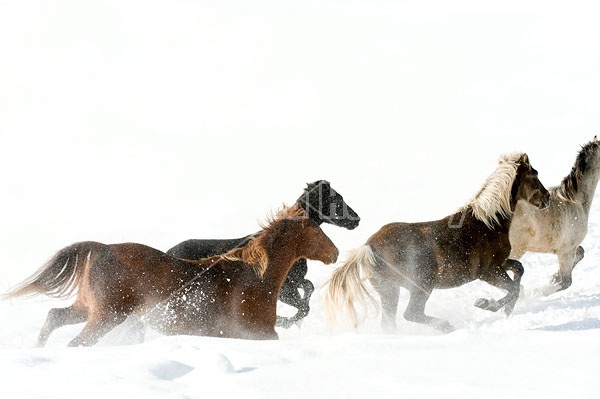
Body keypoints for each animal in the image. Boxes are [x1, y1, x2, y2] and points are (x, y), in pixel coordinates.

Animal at [3, 203, 338, 346]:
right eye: (316, 230)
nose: (334, 253)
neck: (255, 278)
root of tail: (102, 249)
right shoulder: (257, 334)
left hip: (88, 308)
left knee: (54, 317)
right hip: (107, 315)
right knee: (77, 341)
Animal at [166, 181, 358, 328]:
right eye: (337, 200)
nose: (357, 219)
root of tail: (168, 252)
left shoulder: (295, 280)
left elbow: (308, 288)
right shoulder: (283, 289)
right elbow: (303, 307)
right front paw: (283, 322)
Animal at [326, 153, 552, 334]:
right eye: (535, 174)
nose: (547, 198)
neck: (489, 223)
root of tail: (368, 248)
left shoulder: (501, 262)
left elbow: (519, 272)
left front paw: (505, 308)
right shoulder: (488, 271)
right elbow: (513, 289)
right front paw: (486, 304)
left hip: (390, 290)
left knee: (391, 323)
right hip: (421, 285)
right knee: (412, 313)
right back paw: (447, 326)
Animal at [508, 136, 600, 296]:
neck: (575, 200)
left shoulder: (565, 249)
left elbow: (581, 252)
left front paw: (553, 277)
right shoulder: (566, 251)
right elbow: (566, 282)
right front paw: (539, 291)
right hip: (515, 250)